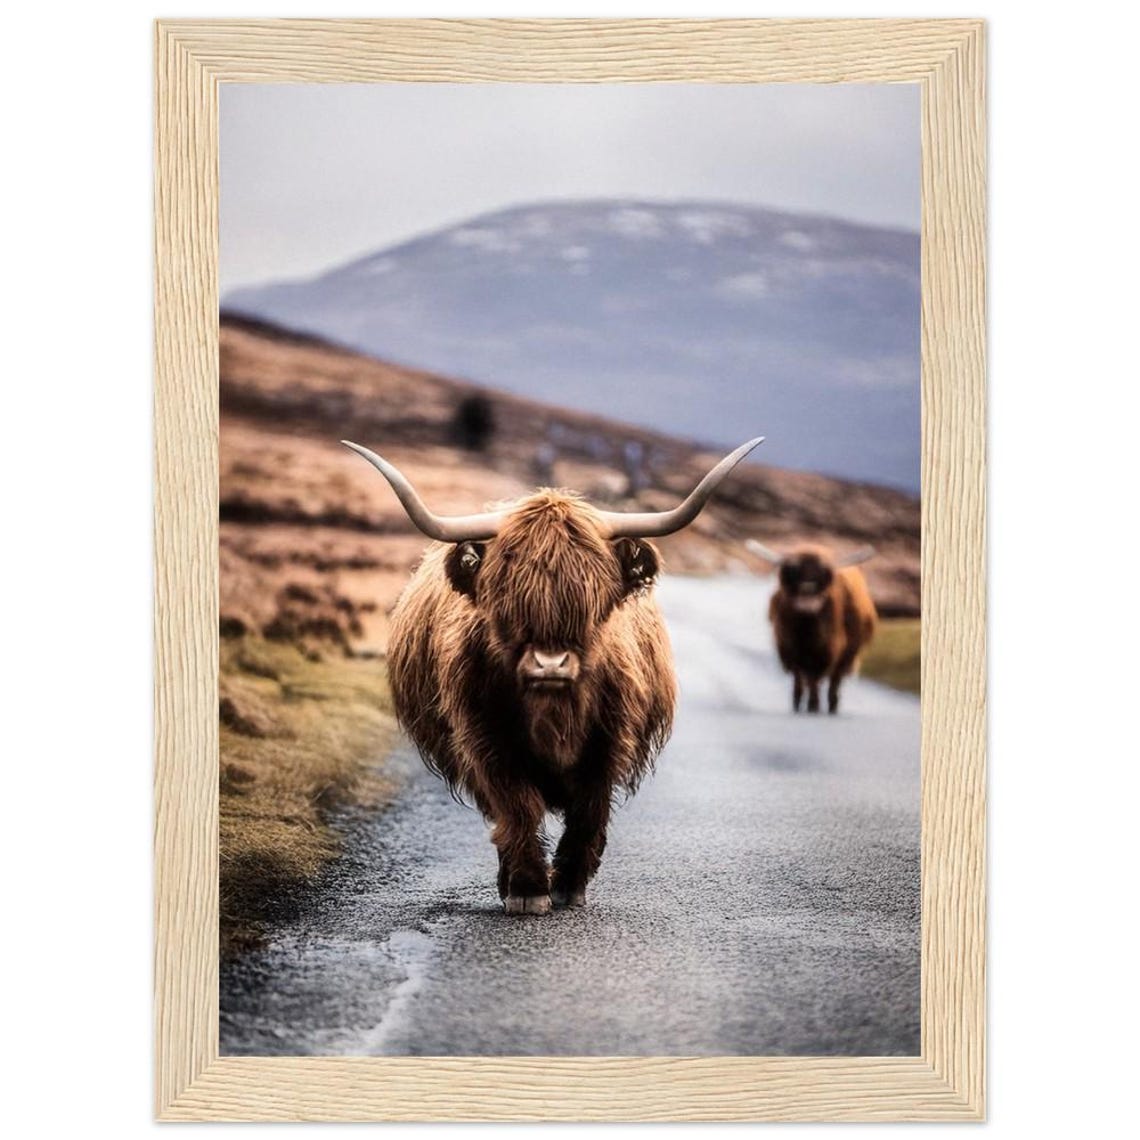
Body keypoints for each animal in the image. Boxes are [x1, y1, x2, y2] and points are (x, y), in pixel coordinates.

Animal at [344, 437, 763, 915]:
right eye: (505, 595)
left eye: (591, 596)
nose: (549, 665)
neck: (554, 710)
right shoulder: (487, 741)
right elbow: (517, 805)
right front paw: (528, 889)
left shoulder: (608, 743)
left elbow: (589, 809)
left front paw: (569, 884)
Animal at [746, 540, 877, 715]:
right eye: (792, 572)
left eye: (824, 574)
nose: (807, 598)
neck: (808, 635)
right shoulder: (790, 651)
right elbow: (801, 679)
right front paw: (799, 704)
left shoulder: (827, 653)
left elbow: (816, 679)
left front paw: (813, 706)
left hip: (847, 655)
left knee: (834, 682)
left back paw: (832, 706)